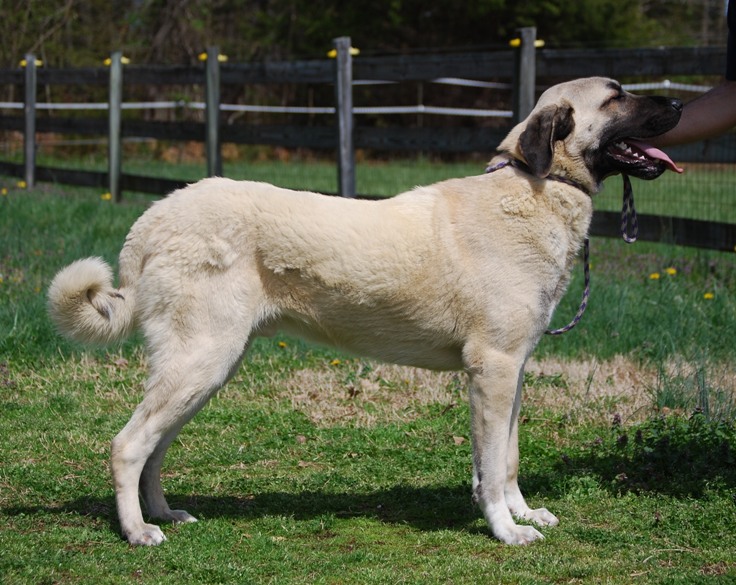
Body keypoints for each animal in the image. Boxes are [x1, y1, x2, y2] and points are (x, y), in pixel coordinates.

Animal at [48, 77, 682, 546]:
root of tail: (153, 218)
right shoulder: (493, 371)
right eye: (617, 96)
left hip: (206, 368)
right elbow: (492, 464)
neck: (538, 187)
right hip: (201, 359)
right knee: (128, 445)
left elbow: (507, 459)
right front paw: (506, 531)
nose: (679, 103)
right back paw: (137, 532)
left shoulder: (513, 372)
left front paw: (523, 514)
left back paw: (163, 514)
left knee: (154, 446)